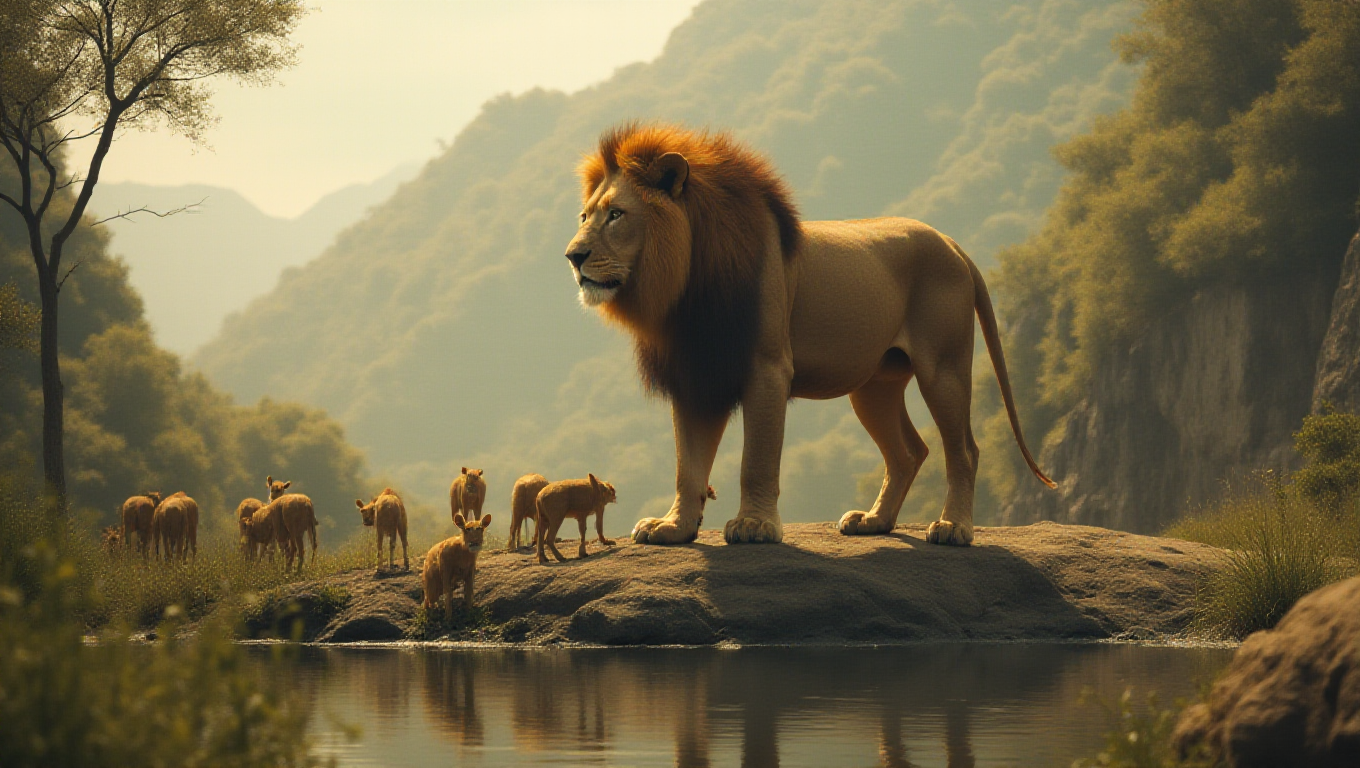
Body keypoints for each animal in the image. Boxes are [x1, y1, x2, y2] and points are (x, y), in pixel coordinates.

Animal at [564, 123, 1054, 548]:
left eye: (616, 215)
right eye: (585, 215)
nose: (573, 255)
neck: (686, 286)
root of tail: (953, 244)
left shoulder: (767, 369)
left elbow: (757, 460)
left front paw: (755, 525)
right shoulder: (696, 376)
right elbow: (689, 465)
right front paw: (674, 527)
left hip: (943, 370)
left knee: (965, 450)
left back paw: (953, 527)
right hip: (874, 386)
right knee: (909, 452)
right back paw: (874, 520)